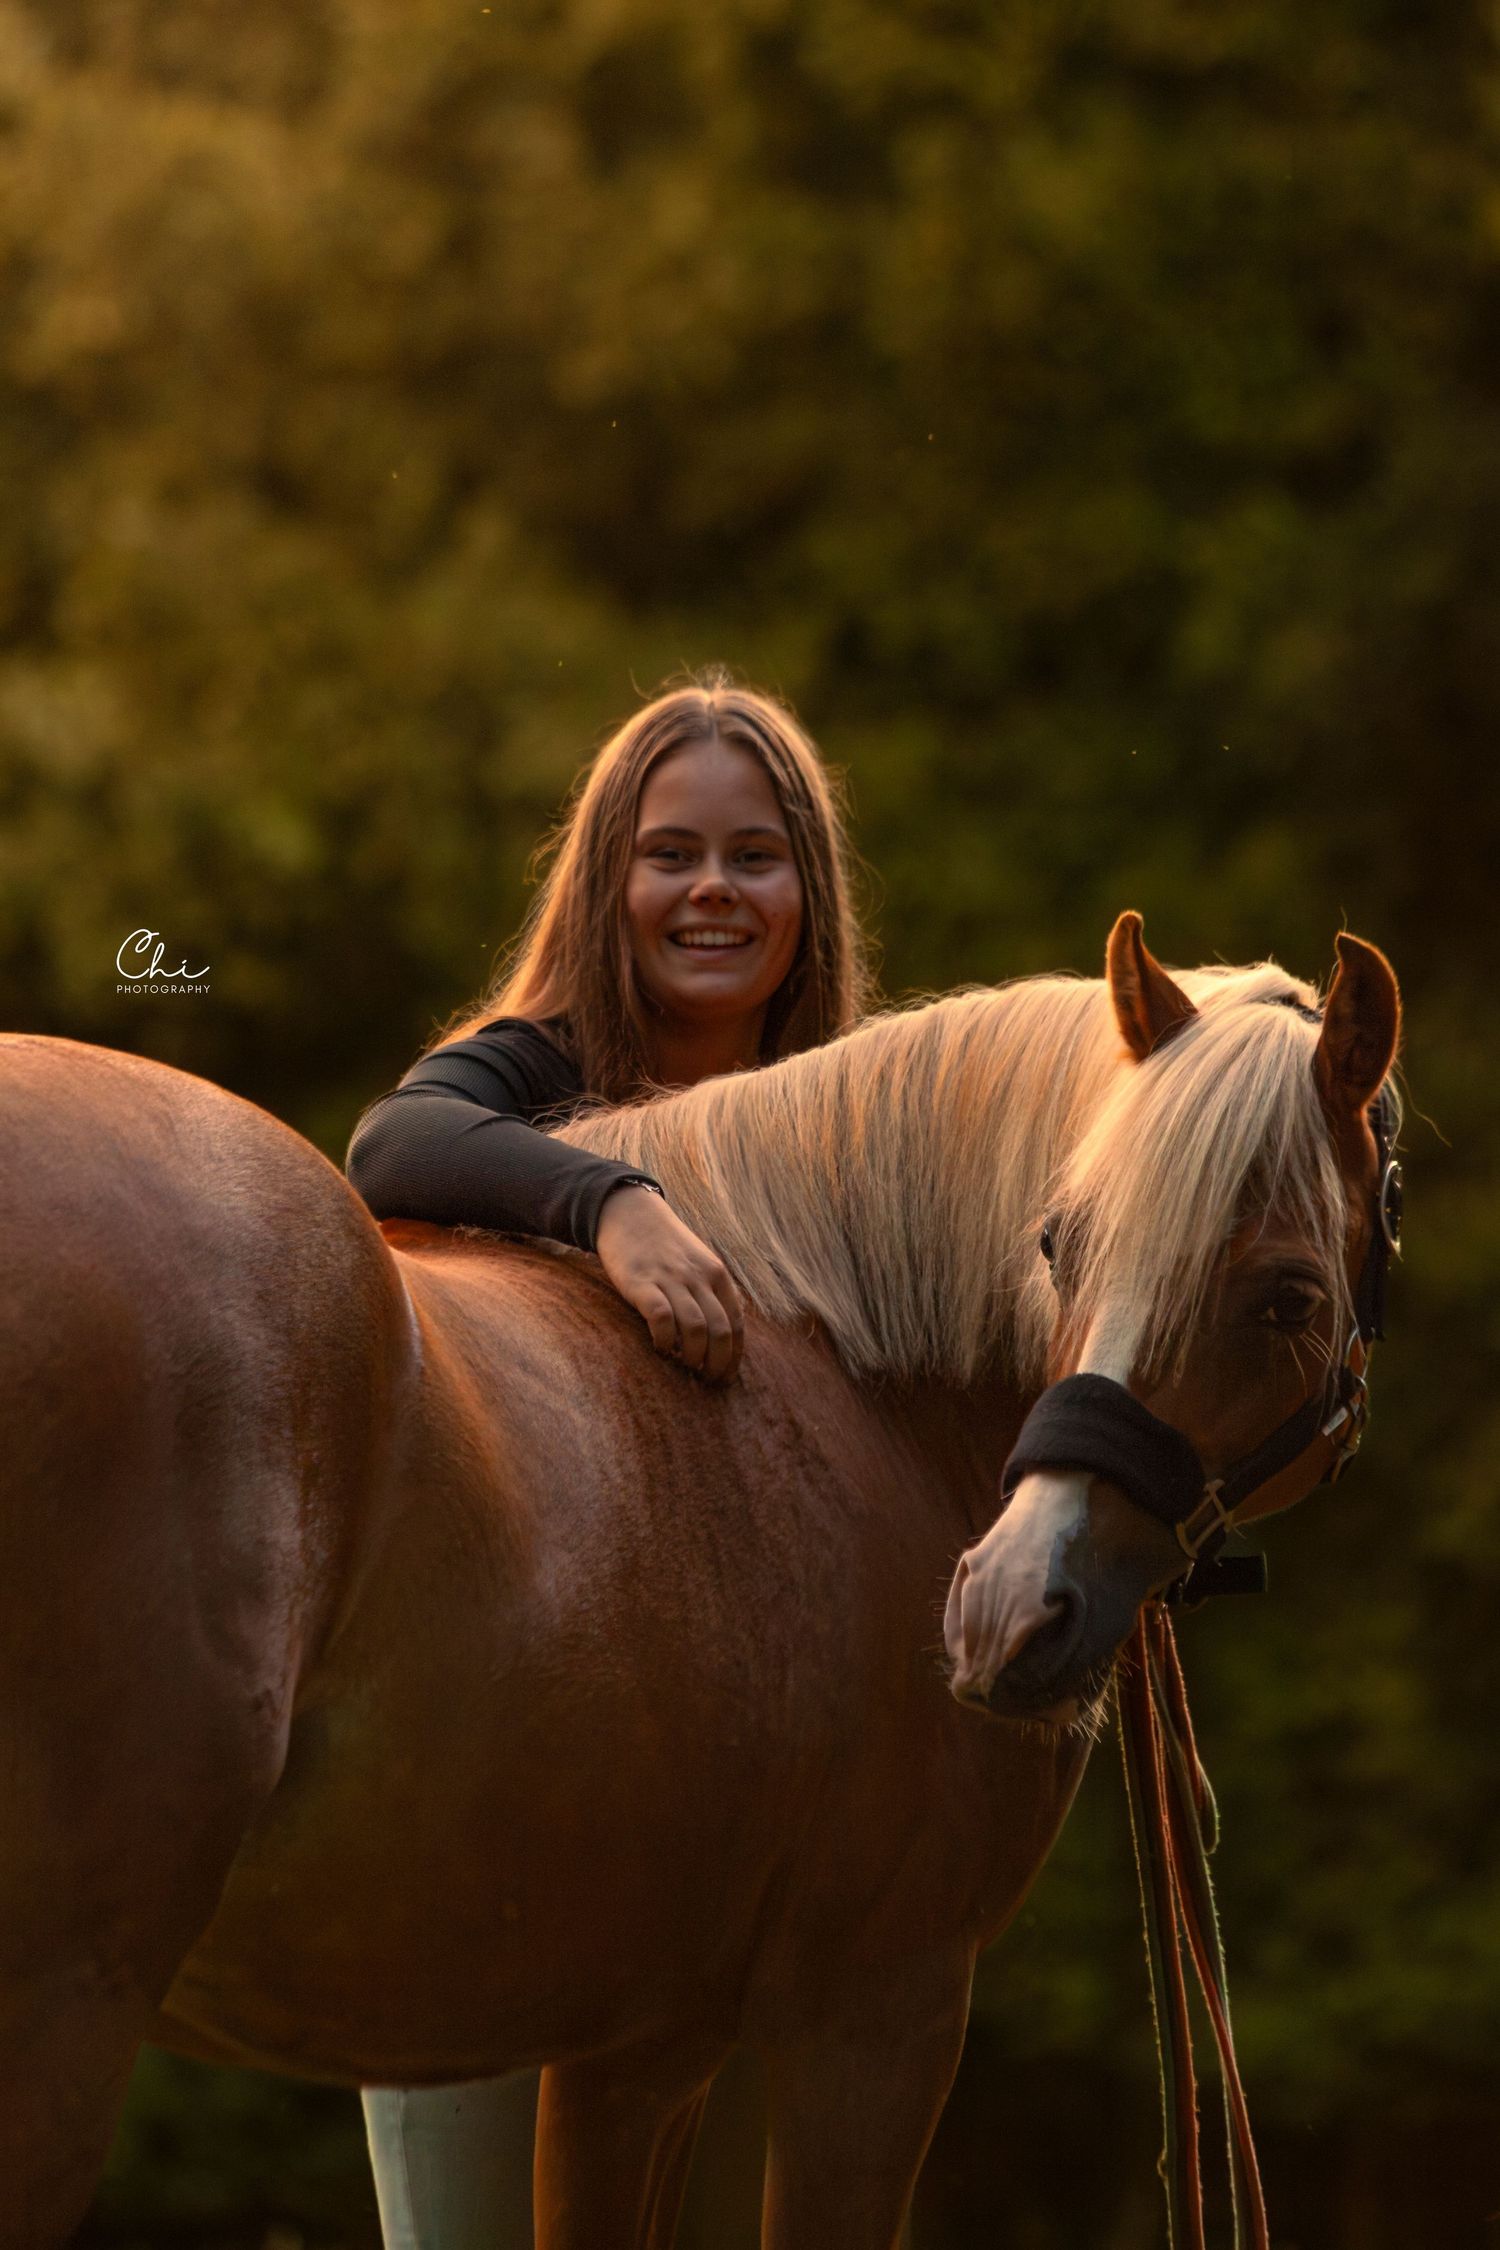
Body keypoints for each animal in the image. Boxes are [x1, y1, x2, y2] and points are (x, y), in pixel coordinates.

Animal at [0, 914, 1399, 2249]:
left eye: (1288, 1299)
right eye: (1058, 1243)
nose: (1009, 1611)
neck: (854, 1378)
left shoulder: (641, 2047)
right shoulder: (873, 2018)